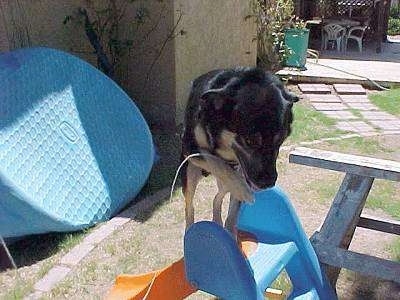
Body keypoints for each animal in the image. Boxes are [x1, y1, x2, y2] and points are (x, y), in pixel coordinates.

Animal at [180, 67, 296, 237]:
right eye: (250, 140)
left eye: (281, 139)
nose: (268, 183)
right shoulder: (189, 147)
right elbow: (213, 160)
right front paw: (244, 191)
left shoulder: (241, 172)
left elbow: (233, 214)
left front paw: (231, 234)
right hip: (190, 174)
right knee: (190, 206)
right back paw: (189, 229)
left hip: (231, 178)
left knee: (218, 197)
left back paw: (218, 220)